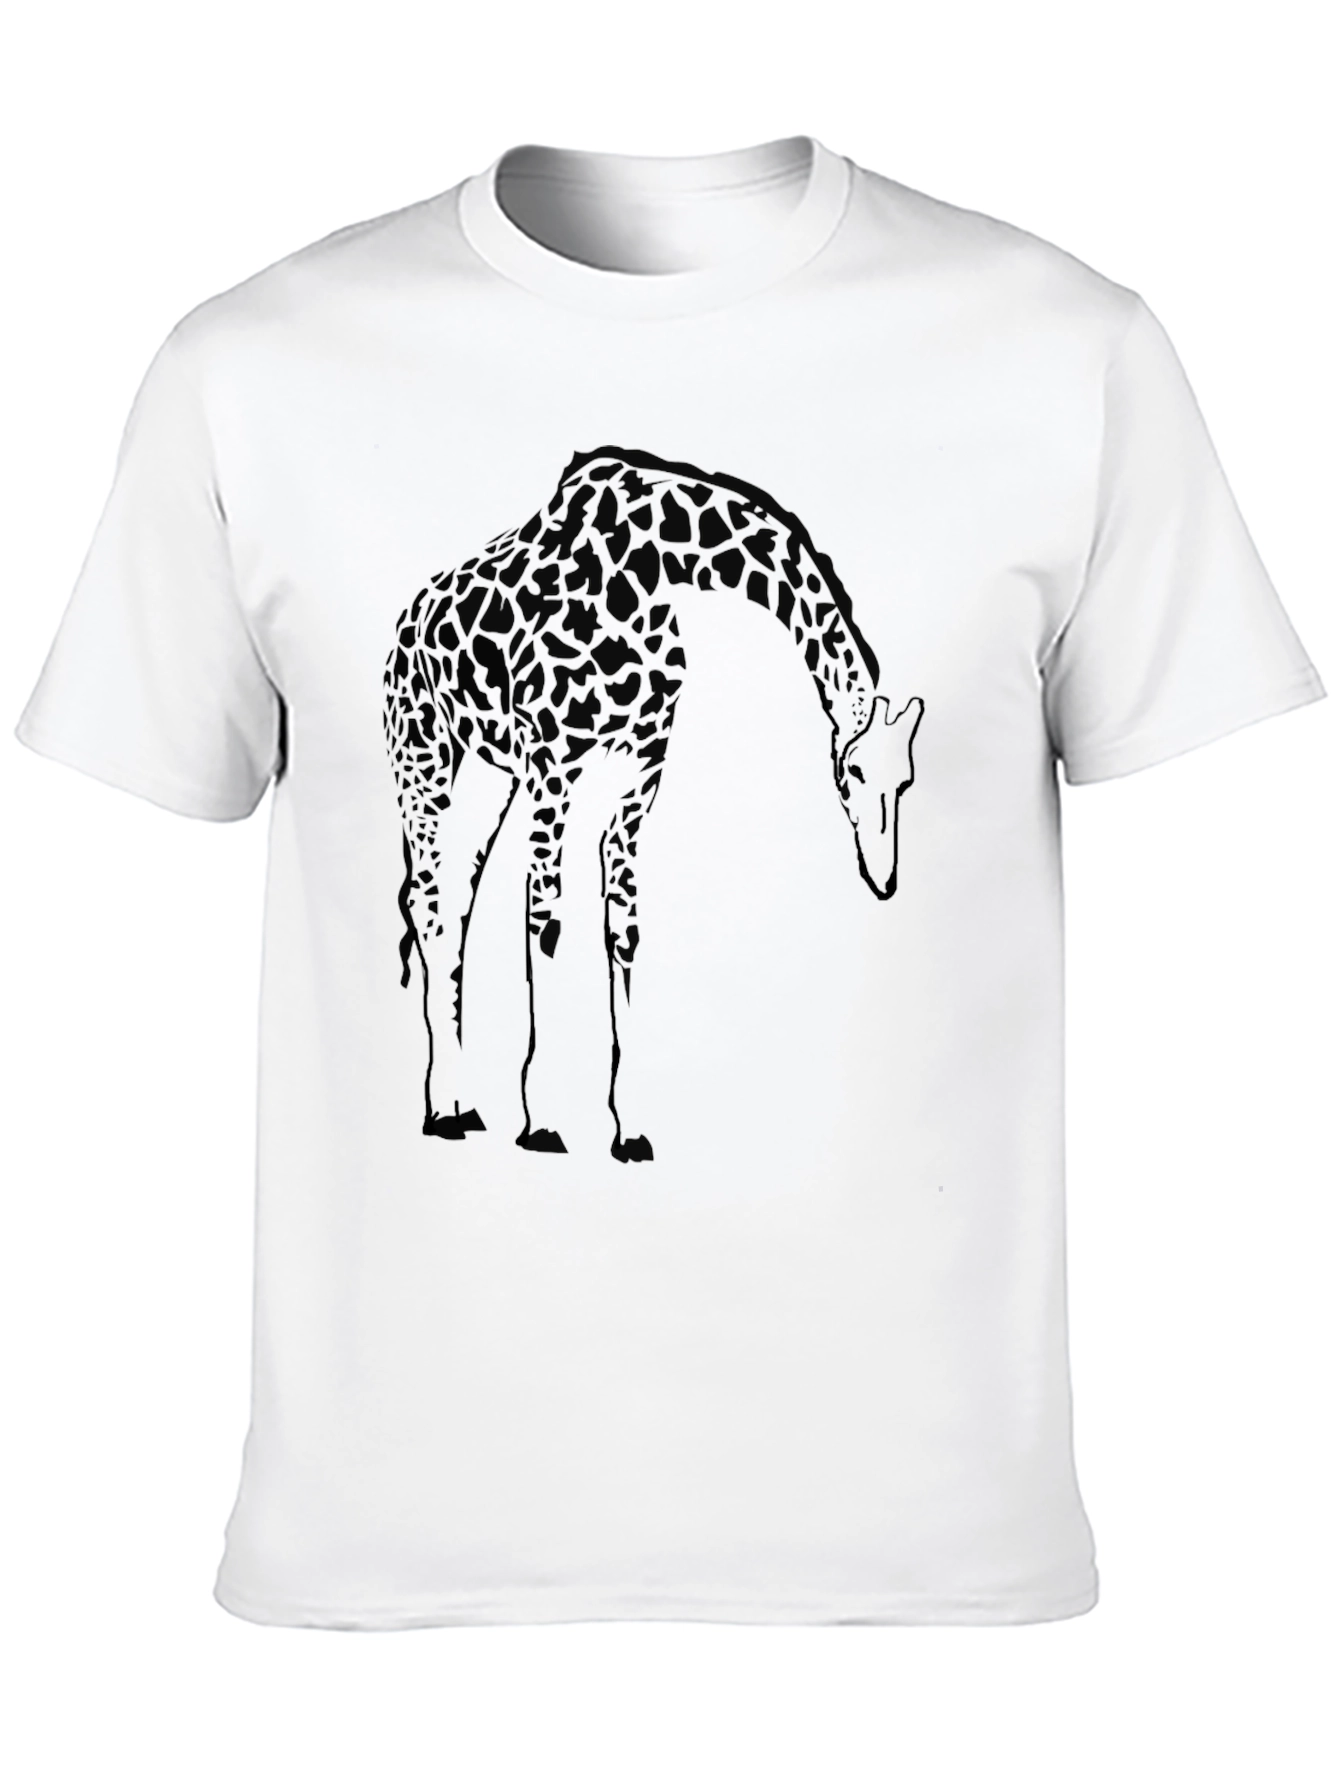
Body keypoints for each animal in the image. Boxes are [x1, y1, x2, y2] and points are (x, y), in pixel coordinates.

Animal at [383, 445, 923, 1162]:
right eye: (852, 774)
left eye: (906, 782)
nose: (884, 876)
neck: (652, 564)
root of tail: (402, 628)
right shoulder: (554, 766)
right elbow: (546, 924)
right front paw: (544, 1119)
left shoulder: (638, 776)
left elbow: (624, 932)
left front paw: (629, 1127)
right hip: (424, 761)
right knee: (428, 903)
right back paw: (443, 1107)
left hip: (486, 779)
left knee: (452, 907)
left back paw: (463, 1102)